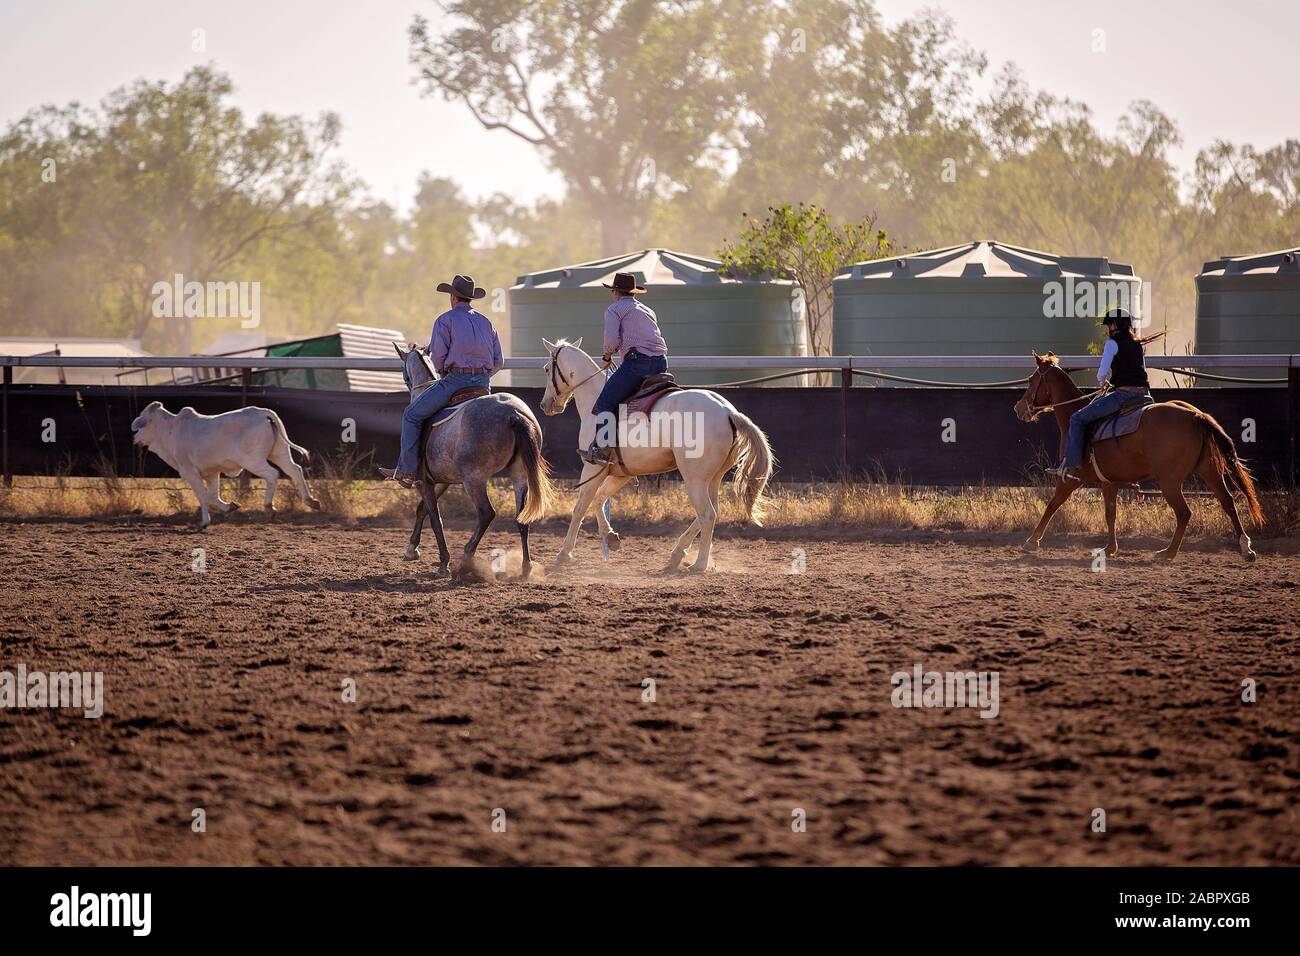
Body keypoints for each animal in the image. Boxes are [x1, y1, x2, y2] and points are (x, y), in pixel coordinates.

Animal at [538, 340, 769, 572]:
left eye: (547, 369)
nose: (545, 404)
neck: (594, 399)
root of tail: (727, 412)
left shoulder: (593, 467)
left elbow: (580, 507)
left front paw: (564, 553)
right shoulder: (621, 473)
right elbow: (599, 499)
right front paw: (610, 537)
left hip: (694, 478)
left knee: (707, 514)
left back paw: (699, 564)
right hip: (713, 478)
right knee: (712, 511)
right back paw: (677, 554)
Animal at [1013, 351, 1258, 561]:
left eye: (1031, 380)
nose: (1018, 408)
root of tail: (1195, 416)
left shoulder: (1070, 479)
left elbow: (1052, 505)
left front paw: (1031, 541)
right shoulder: (1109, 482)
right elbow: (1110, 513)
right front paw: (1110, 548)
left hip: (1169, 481)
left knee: (1184, 513)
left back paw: (1168, 552)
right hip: (1209, 470)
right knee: (1227, 502)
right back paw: (1246, 549)